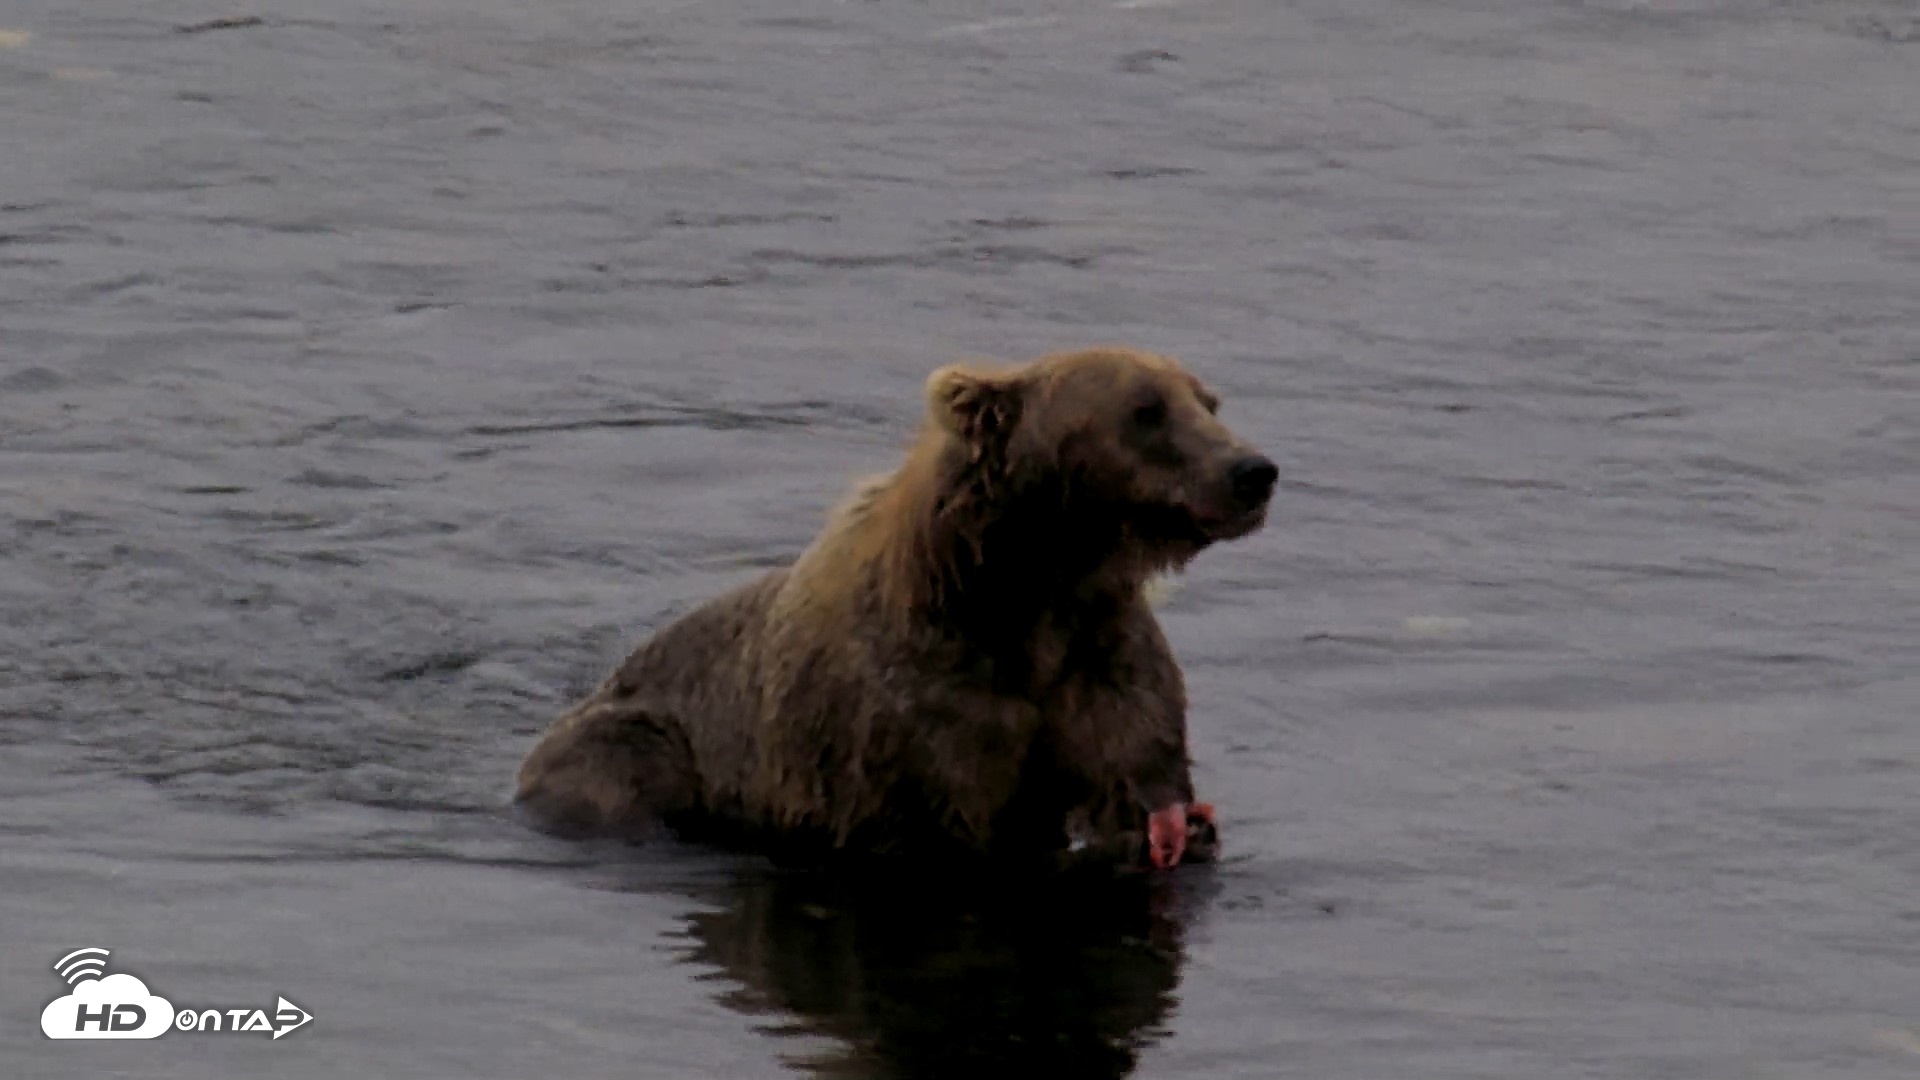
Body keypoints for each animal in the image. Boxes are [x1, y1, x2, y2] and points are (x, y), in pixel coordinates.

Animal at [514, 345, 1276, 874]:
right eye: (1145, 410)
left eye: (1208, 402)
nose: (1252, 471)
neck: (1031, 591)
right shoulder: (910, 717)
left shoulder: (1100, 660)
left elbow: (1134, 759)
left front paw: (1168, 831)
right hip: (633, 742)